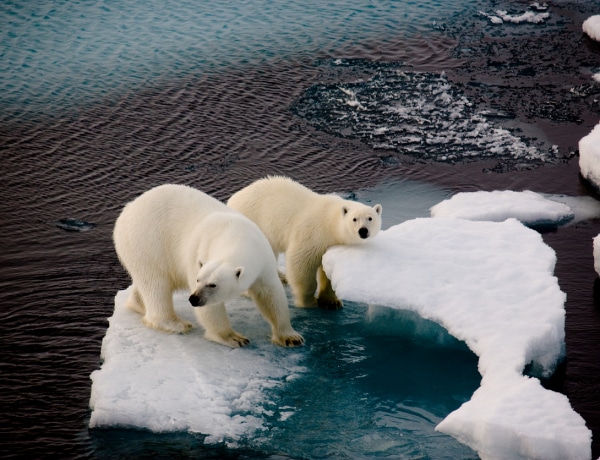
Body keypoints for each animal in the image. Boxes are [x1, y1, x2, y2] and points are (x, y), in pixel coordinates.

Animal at [112, 183, 302, 348]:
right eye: (198, 280)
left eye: (212, 284)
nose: (193, 298)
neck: (236, 235)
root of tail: (128, 209)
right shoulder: (199, 251)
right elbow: (211, 310)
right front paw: (234, 338)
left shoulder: (263, 258)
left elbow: (271, 295)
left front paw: (290, 337)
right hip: (147, 242)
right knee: (156, 284)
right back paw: (176, 324)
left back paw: (138, 304)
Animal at [227, 176, 382, 310]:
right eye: (354, 219)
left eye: (370, 218)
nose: (363, 231)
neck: (330, 222)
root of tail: (232, 199)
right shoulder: (312, 234)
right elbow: (301, 264)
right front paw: (308, 301)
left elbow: (328, 271)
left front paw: (332, 302)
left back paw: (281, 277)